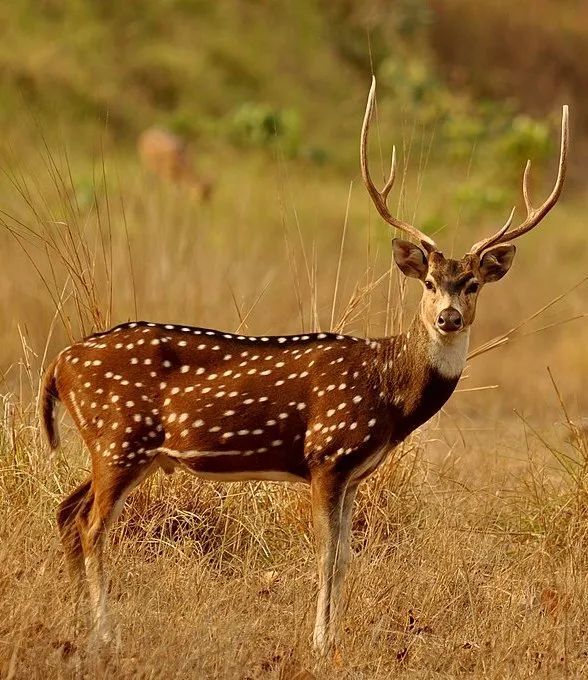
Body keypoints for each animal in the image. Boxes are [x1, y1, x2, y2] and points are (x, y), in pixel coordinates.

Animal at [39, 77, 568, 656]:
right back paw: (105, 634)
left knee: (67, 512)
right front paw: (319, 642)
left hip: (123, 449)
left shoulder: (356, 473)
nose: (448, 318)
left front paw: (333, 637)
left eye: (472, 284)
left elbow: (346, 559)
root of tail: (59, 364)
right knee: (92, 526)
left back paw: (76, 622)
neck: (388, 391)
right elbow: (326, 556)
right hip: (119, 436)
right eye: (429, 282)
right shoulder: (326, 454)